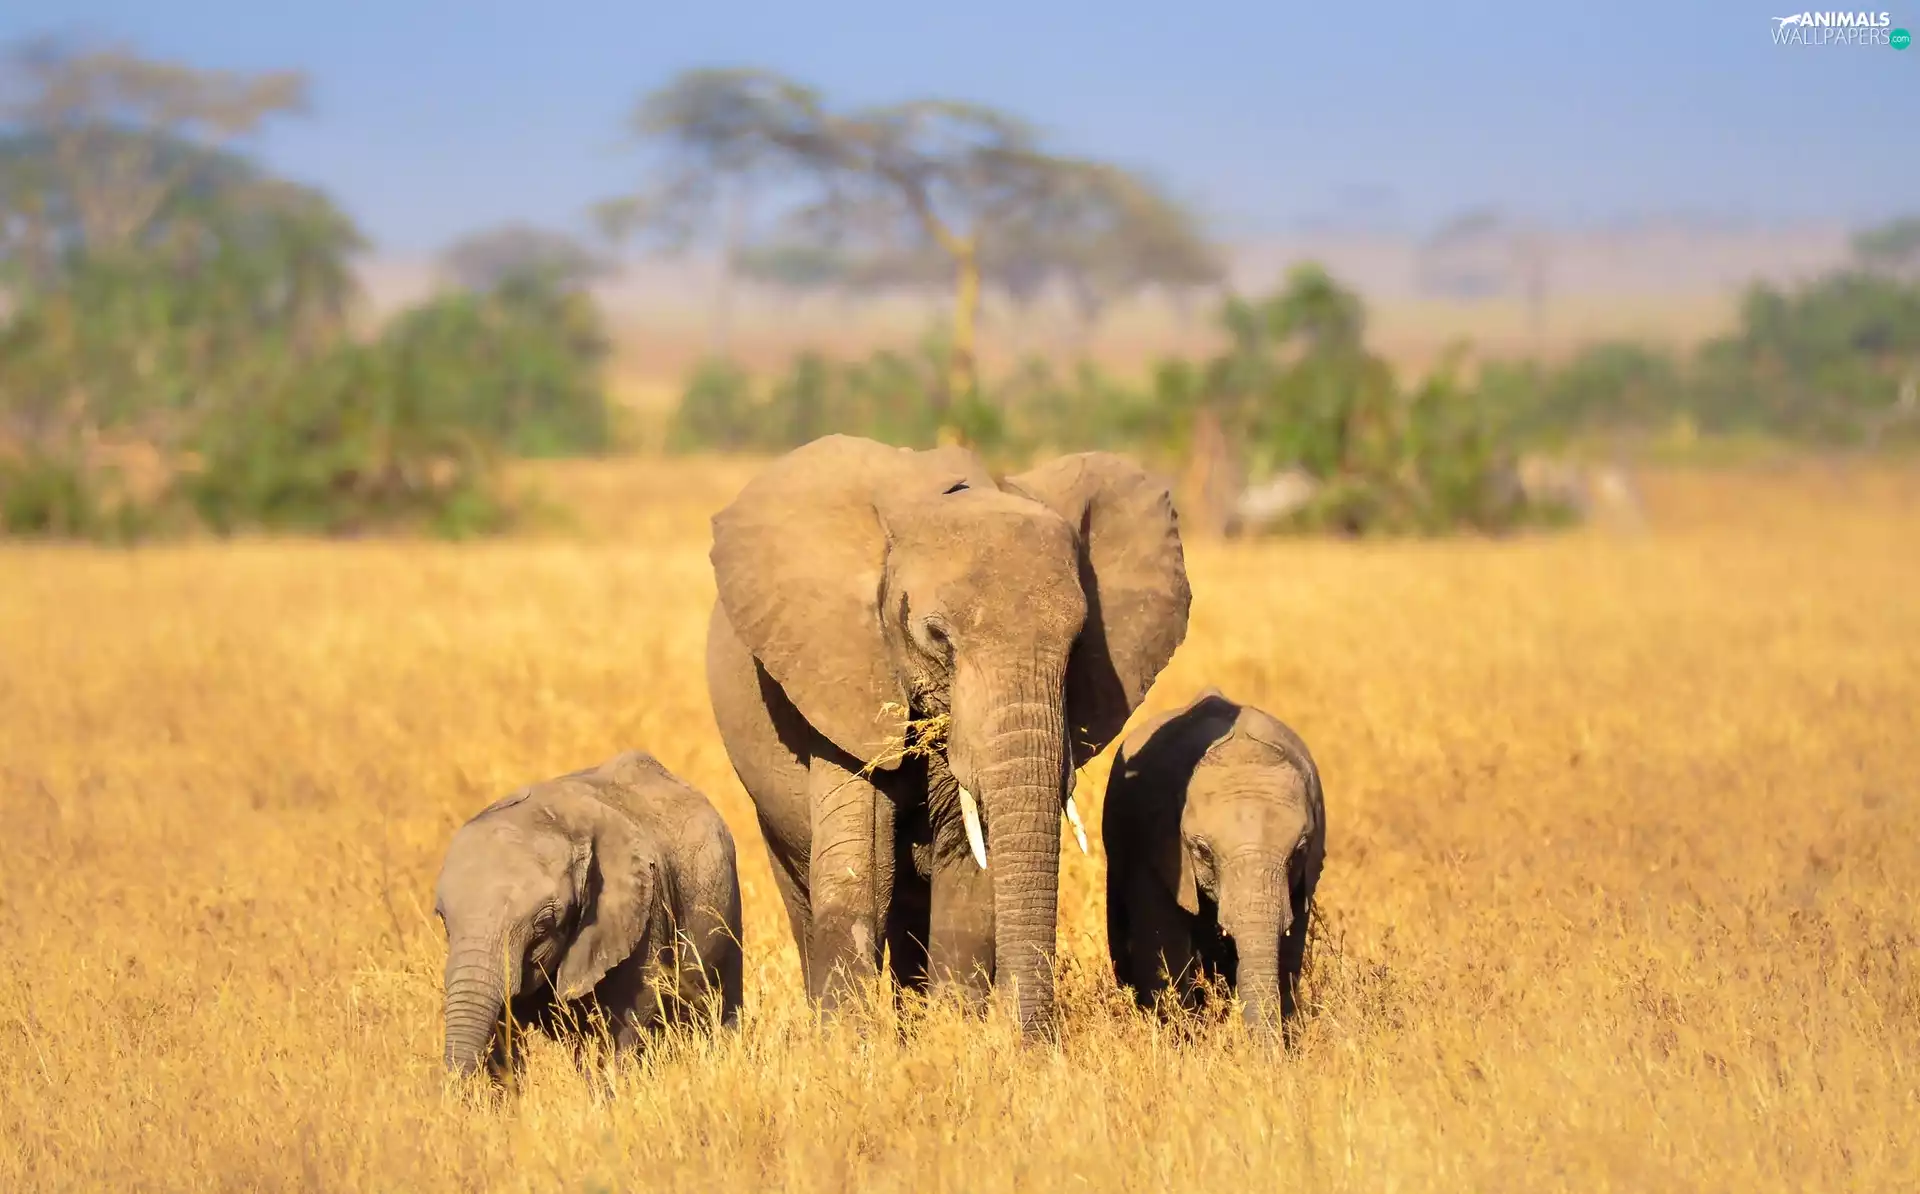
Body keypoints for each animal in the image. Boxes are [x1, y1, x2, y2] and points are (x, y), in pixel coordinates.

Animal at [704, 434, 1190, 1036]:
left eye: (1079, 643)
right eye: (936, 637)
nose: (1026, 1033)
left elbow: (967, 865)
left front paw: (956, 1032)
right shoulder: (842, 676)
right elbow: (863, 865)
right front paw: (848, 1044)